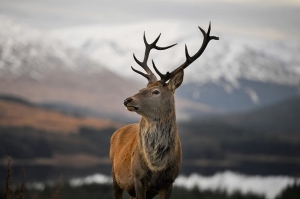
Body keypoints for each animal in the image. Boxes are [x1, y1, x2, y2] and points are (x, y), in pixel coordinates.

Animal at [109, 22, 218, 199]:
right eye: (142, 88)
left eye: (156, 92)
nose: (127, 100)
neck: (156, 168)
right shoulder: (138, 179)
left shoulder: (169, 182)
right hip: (115, 177)